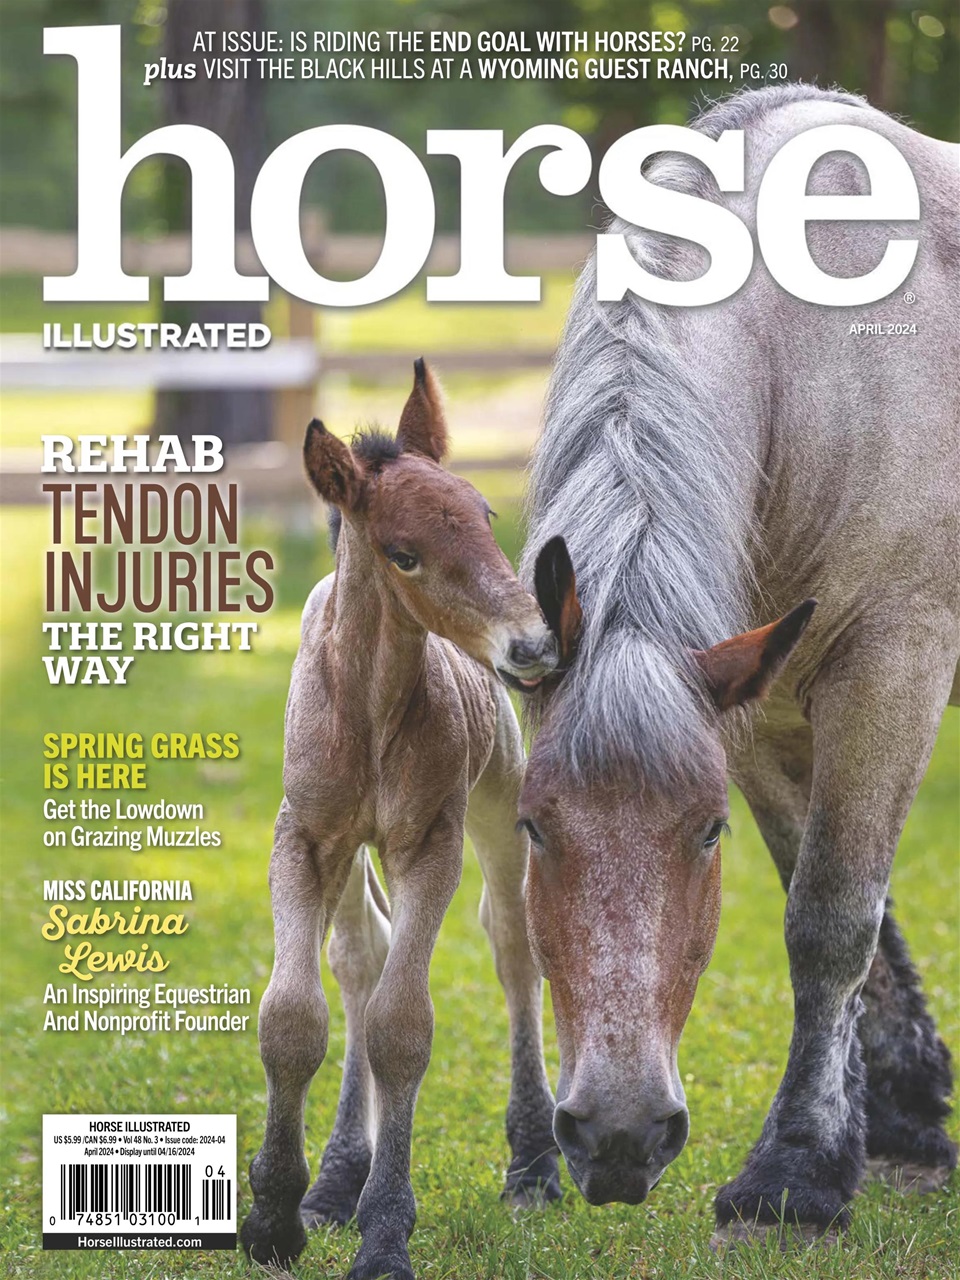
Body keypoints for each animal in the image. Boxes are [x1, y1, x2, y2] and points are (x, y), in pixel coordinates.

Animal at [240, 361, 561, 1280]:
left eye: (485, 516)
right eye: (403, 553)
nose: (533, 646)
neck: (371, 708)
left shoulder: (431, 841)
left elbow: (402, 1027)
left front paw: (385, 1232)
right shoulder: (304, 839)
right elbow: (293, 1016)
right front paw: (277, 1215)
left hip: (498, 803)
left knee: (513, 945)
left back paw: (534, 1162)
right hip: (352, 855)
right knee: (361, 958)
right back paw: (334, 1181)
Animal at [519, 84, 959, 1243]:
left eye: (703, 830)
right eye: (533, 826)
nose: (618, 1135)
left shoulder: (894, 662)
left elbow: (832, 918)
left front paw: (797, 1168)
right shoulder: (762, 699)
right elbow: (831, 892)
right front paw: (896, 1115)